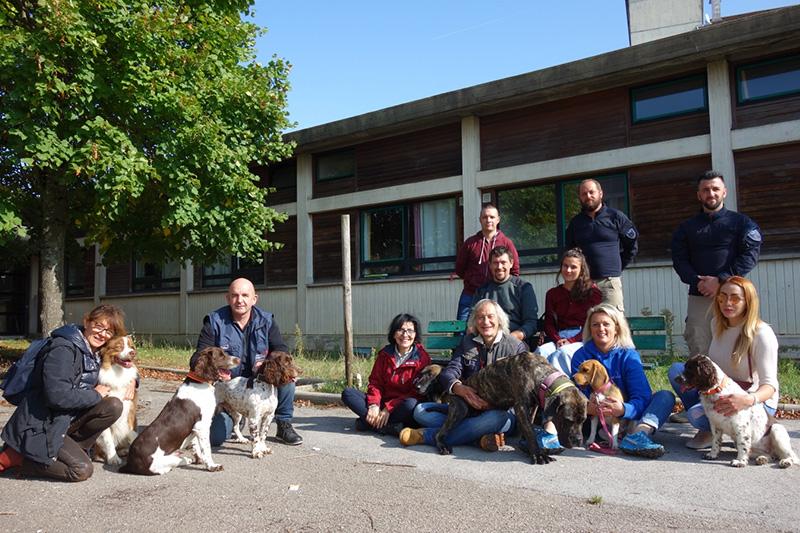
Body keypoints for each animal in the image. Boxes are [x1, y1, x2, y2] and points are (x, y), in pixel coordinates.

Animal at [434, 354, 584, 462]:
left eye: (583, 420)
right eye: (568, 420)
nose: (578, 441)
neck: (541, 377)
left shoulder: (532, 407)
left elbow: (527, 431)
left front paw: (530, 449)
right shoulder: (521, 407)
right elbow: (530, 431)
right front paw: (538, 454)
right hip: (460, 409)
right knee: (439, 433)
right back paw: (442, 445)